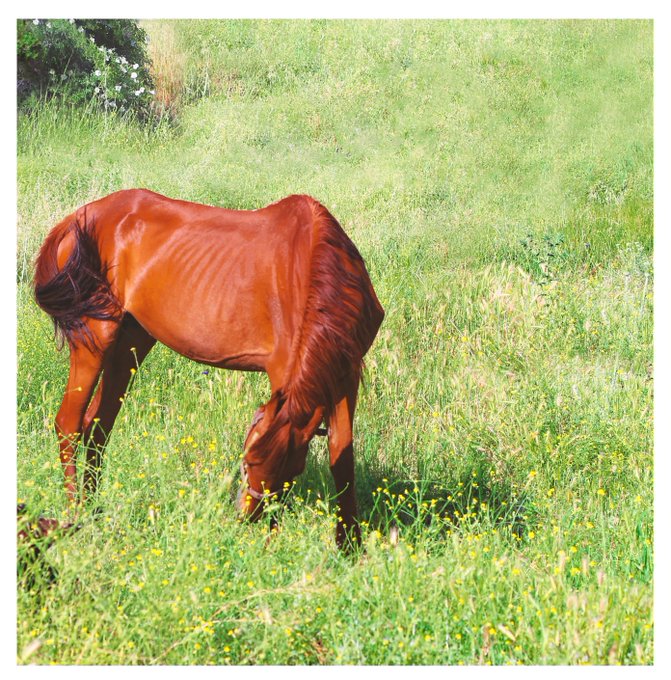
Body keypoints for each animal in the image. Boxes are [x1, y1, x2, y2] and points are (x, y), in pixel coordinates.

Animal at [33, 189, 384, 548]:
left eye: (293, 471)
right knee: (69, 423)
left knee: (97, 427)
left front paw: (350, 546)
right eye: (247, 461)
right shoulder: (284, 373)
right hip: (95, 337)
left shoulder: (345, 375)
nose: (250, 521)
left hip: (130, 341)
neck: (313, 262)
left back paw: (95, 514)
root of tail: (75, 219)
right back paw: (76, 517)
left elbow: (342, 457)